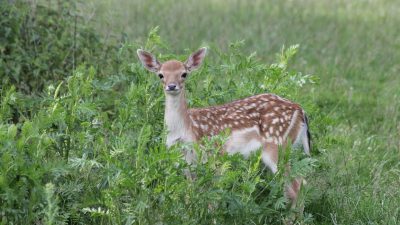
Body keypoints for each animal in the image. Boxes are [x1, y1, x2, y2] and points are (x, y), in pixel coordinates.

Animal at [138, 48, 312, 206]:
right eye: (161, 75)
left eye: (184, 74)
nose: (172, 86)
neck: (186, 130)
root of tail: (301, 110)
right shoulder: (186, 164)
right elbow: (190, 196)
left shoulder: (214, 156)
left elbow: (213, 197)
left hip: (278, 145)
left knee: (297, 186)